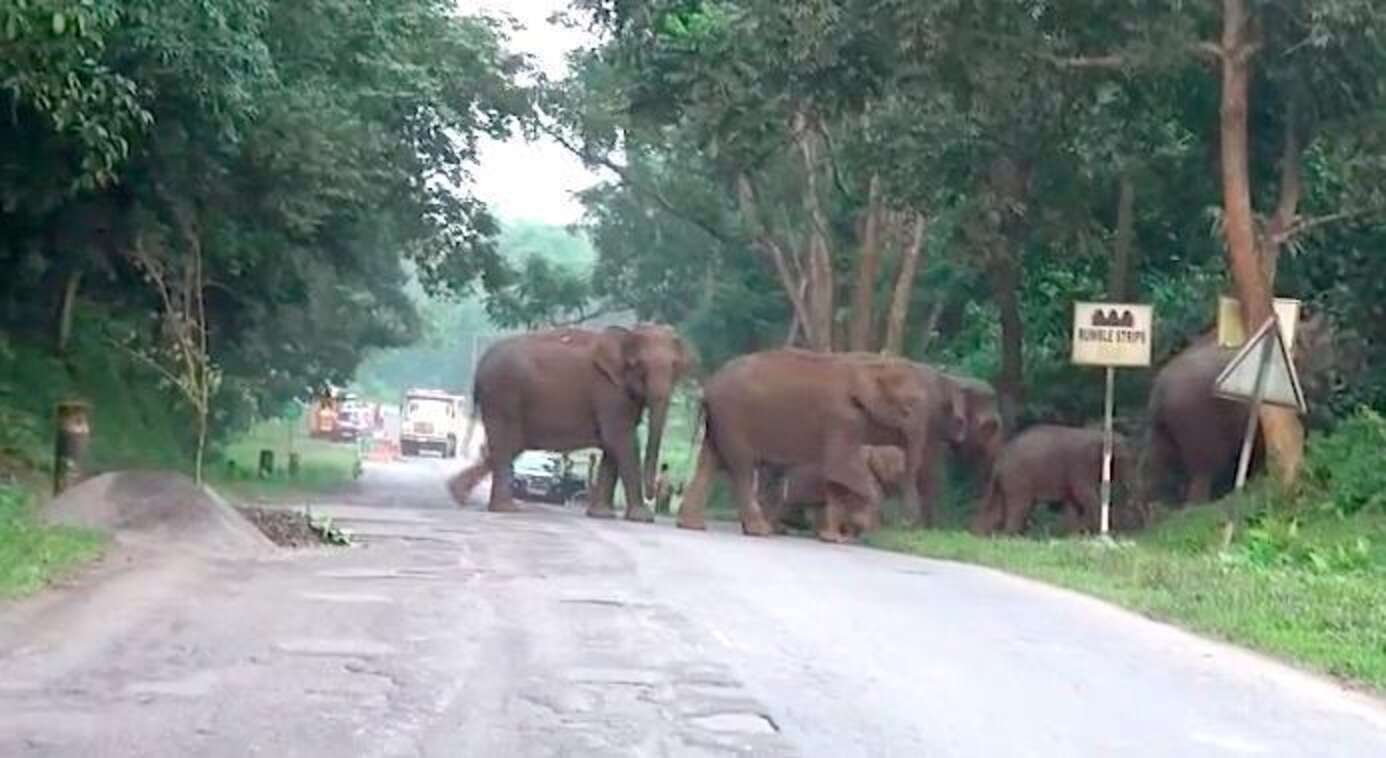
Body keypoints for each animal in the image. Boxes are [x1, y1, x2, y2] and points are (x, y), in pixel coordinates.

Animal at [449, 322, 693, 518]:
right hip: (504, 393)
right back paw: (504, 509)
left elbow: (613, 445)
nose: (655, 493)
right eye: (639, 366)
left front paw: (602, 515)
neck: (627, 333)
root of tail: (480, 367)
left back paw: (457, 494)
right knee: (507, 444)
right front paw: (642, 518)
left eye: (675, 366)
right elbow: (622, 440)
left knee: (511, 445)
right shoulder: (609, 391)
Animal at [673, 353, 964, 543]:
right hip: (734, 419)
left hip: (721, 422)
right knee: (741, 467)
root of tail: (708, 387)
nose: (907, 526)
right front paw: (858, 525)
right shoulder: (841, 418)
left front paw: (835, 537)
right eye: (908, 408)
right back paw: (760, 531)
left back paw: (693, 526)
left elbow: (837, 478)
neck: (867, 367)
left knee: (710, 461)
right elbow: (841, 468)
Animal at [970, 424, 1130, 537]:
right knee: (1019, 506)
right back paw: (1010, 536)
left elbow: (1072, 501)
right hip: (1018, 478)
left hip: (1008, 480)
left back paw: (980, 534)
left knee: (999, 508)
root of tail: (999, 461)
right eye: (1122, 460)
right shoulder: (1079, 465)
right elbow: (1084, 494)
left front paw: (1072, 534)